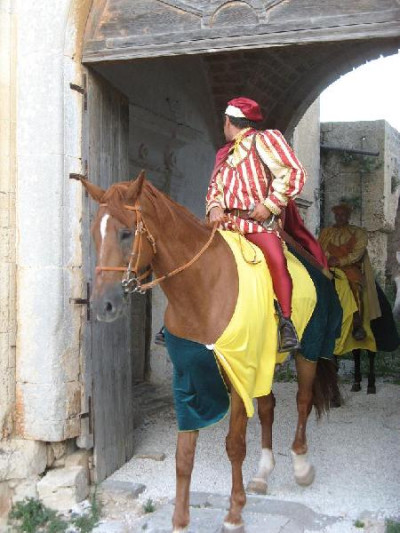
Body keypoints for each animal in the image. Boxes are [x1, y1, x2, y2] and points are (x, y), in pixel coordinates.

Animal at [80, 172, 340, 528]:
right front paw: (179, 521)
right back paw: (263, 473)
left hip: (308, 351)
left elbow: (235, 445)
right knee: (269, 406)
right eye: (95, 232)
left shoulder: (239, 373)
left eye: (125, 232)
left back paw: (301, 465)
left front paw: (234, 513)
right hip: (264, 362)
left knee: (303, 400)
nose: (102, 305)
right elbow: (183, 455)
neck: (203, 288)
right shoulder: (191, 378)